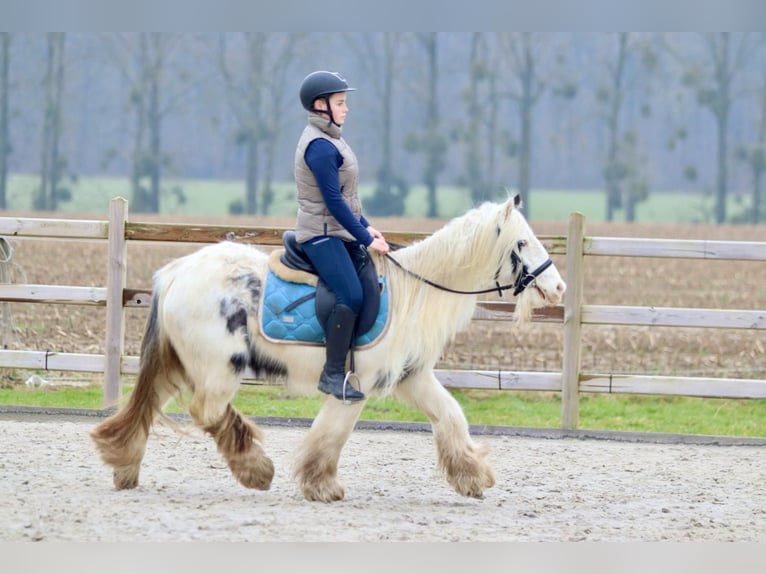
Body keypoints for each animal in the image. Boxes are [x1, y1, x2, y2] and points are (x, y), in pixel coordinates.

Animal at [93, 197, 568, 504]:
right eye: (522, 243)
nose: (559, 286)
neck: (411, 292)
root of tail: (175, 272)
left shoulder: (412, 377)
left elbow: (451, 416)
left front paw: (473, 477)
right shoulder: (354, 385)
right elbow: (331, 435)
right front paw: (320, 485)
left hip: (179, 363)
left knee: (149, 406)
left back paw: (124, 465)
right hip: (218, 368)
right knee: (207, 411)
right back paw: (256, 470)